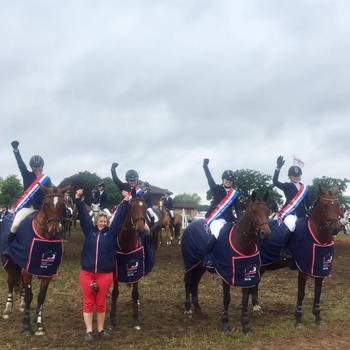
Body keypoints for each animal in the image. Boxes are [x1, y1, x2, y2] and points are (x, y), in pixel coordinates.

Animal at [1, 186, 69, 336]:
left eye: (62, 204)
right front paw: (26, 327)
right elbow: (29, 296)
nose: (54, 230)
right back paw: (8, 309)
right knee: (11, 281)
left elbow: (41, 296)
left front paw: (39, 325)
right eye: (46, 204)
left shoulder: (47, 272)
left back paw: (21, 305)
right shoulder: (28, 270)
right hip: (9, 264)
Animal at [108, 196, 154, 330]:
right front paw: (112, 319)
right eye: (132, 207)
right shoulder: (116, 272)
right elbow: (115, 293)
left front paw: (136, 319)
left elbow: (135, 293)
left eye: (145, 208)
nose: (141, 228)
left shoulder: (137, 270)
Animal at [182, 191, 270, 334]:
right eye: (253, 211)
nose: (266, 233)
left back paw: (198, 308)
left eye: (268, 211)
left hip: (200, 267)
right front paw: (225, 324)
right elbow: (226, 298)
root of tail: (189, 227)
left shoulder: (246, 275)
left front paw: (246, 325)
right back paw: (188, 309)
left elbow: (245, 299)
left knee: (195, 283)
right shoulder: (226, 274)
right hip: (190, 263)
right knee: (187, 281)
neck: (241, 244)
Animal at [250, 187, 344, 326]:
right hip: (261, 264)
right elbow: (301, 292)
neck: (318, 238)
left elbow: (318, 291)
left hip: (263, 266)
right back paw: (256, 308)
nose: (335, 228)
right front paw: (298, 318)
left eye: (337, 205)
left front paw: (318, 316)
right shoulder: (303, 268)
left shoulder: (320, 268)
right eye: (324, 205)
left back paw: (256, 307)